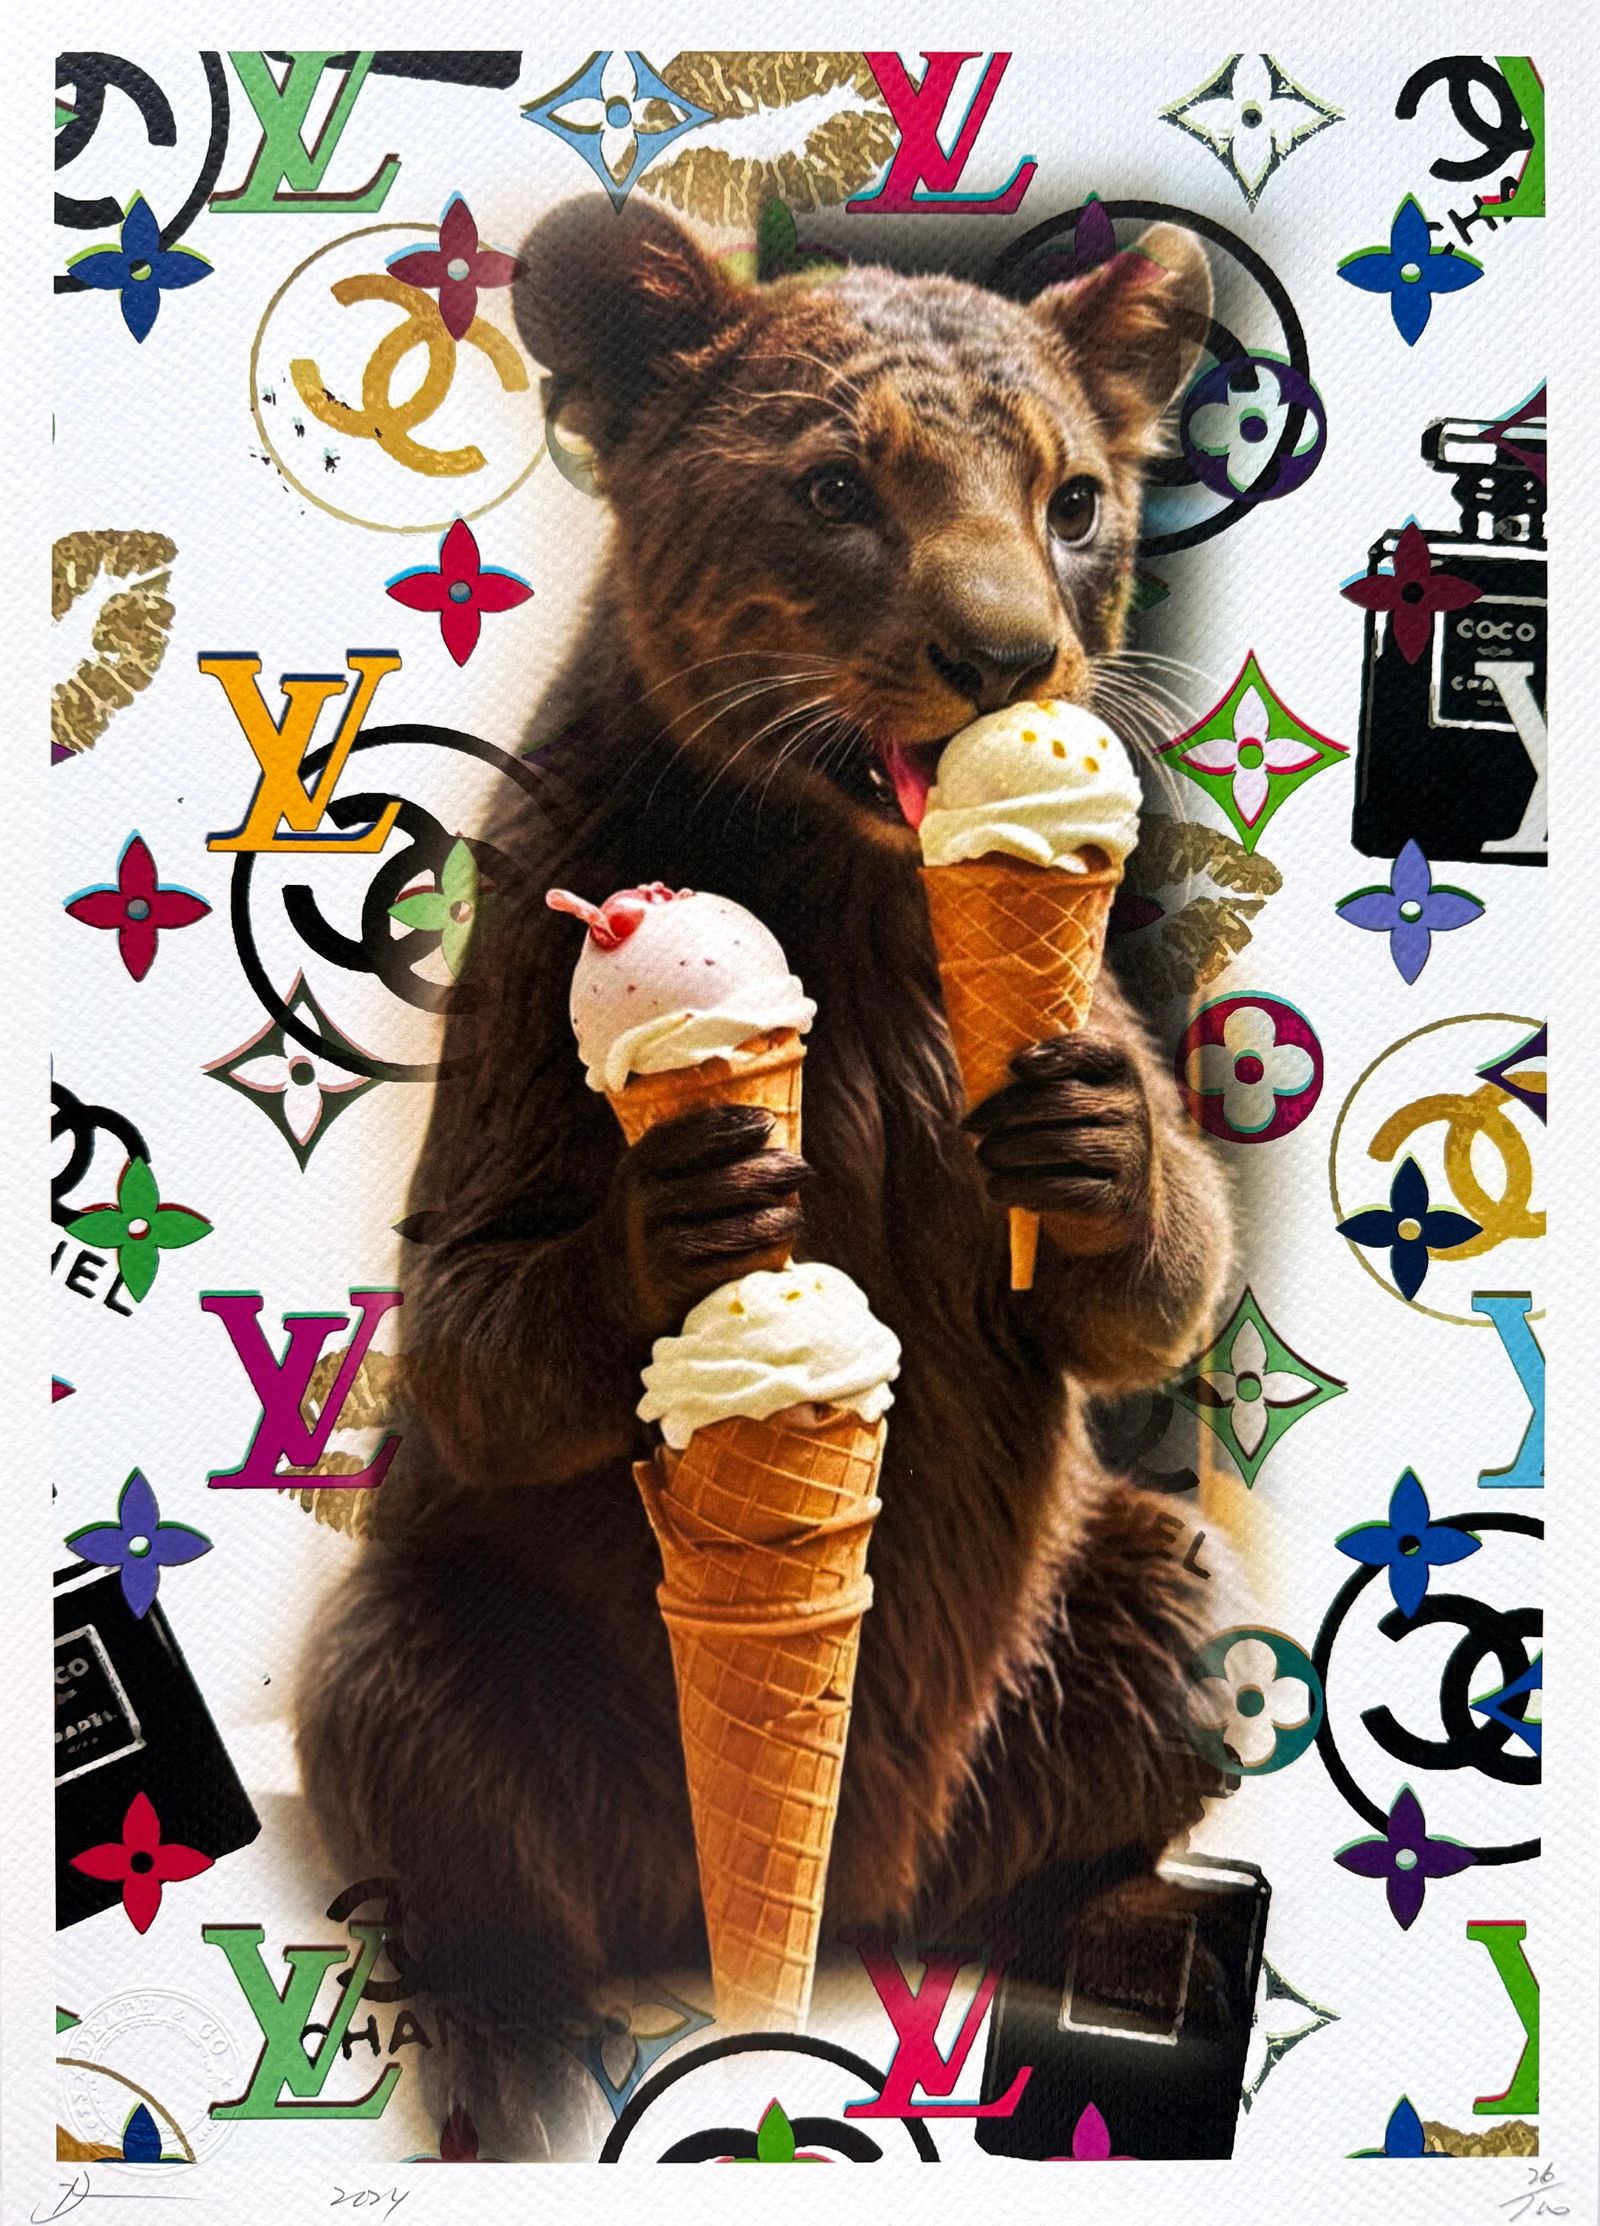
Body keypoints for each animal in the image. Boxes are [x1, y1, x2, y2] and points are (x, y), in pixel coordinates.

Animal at [295, 195, 1232, 2156]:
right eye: (835, 488)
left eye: (1073, 493)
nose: (1008, 656)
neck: (861, 916)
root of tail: (809, 1931)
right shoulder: (505, 1072)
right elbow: (481, 1323)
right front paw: (693, 1208)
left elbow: (1172, 1264)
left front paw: (1090, 1138)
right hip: (412, 1661)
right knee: (500, 1895)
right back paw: (506, 2057)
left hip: (1157, 1584)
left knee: (1029, 1841)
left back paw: (1119, 1956)